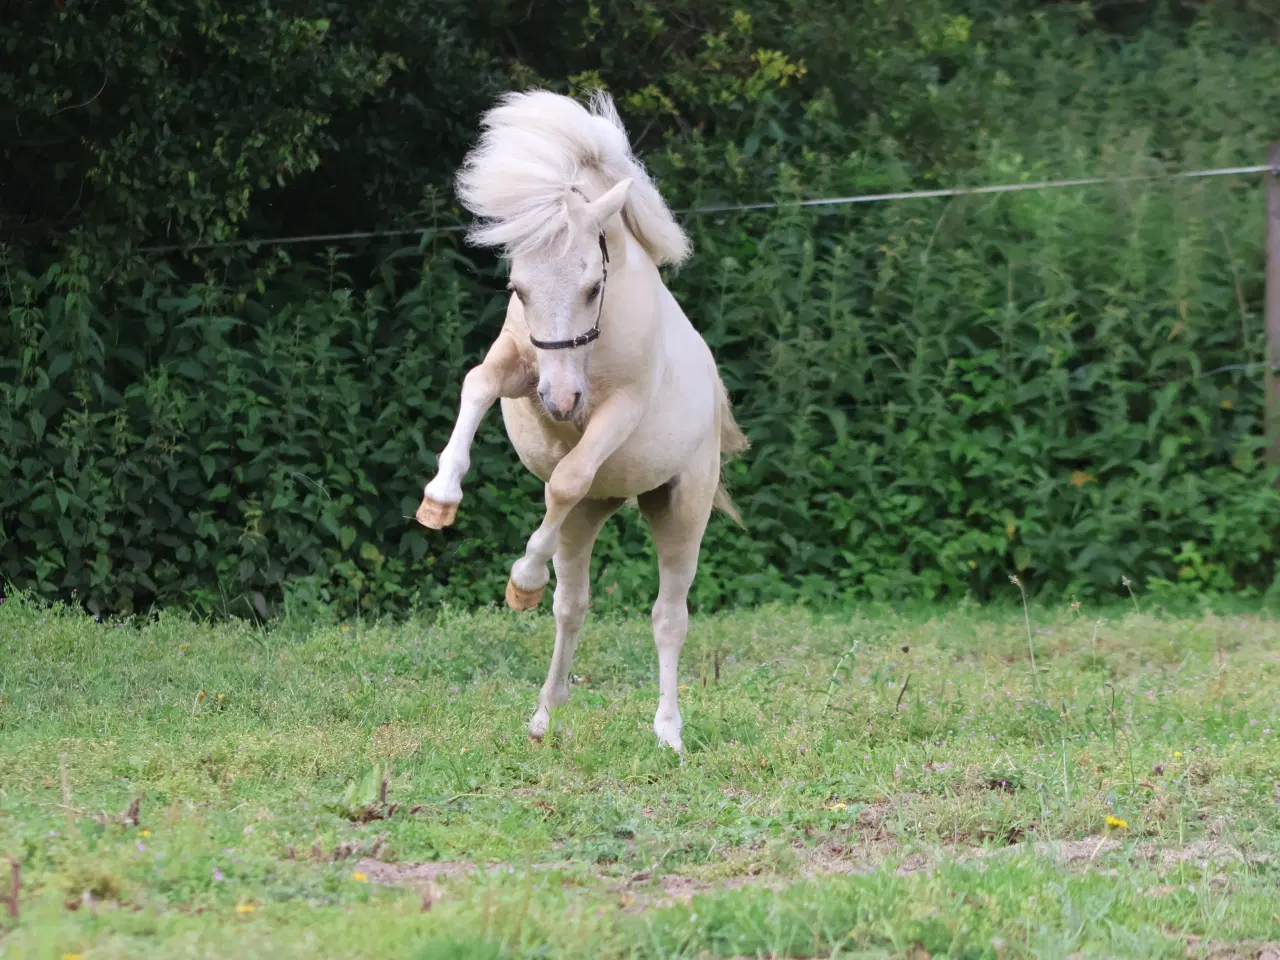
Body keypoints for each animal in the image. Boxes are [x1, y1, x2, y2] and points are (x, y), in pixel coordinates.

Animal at [414, 90, 747, 757]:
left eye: (594, 286)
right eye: (517, 286)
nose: (563, 402)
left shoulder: (620, 411)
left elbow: (565, 479)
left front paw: (519, 575)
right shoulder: (520, 367)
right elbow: (476, 384)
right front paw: (439, 500)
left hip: (681, 507)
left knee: (668, 616)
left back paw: (668, 731)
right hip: (593, 514)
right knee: (571, 604)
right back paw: (544, 713)